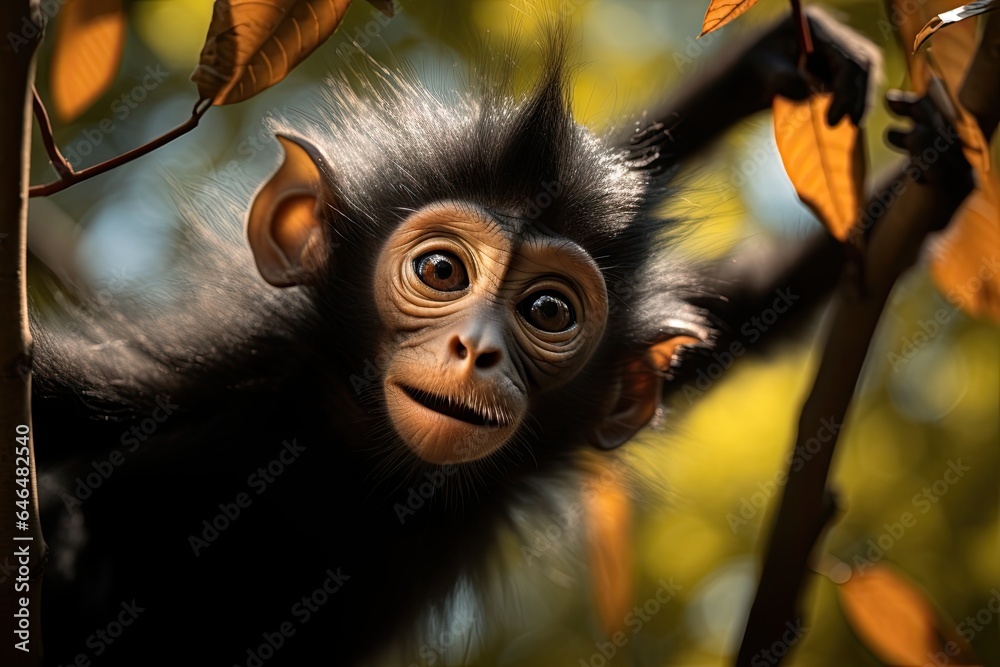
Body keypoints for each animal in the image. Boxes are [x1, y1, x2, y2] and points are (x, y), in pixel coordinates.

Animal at [28, 7, 971, 666]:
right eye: (442, 271)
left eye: (548, 312)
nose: (475, 350)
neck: (359, 451)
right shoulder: (210, 375)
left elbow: (746, 315)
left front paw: (929, 155)